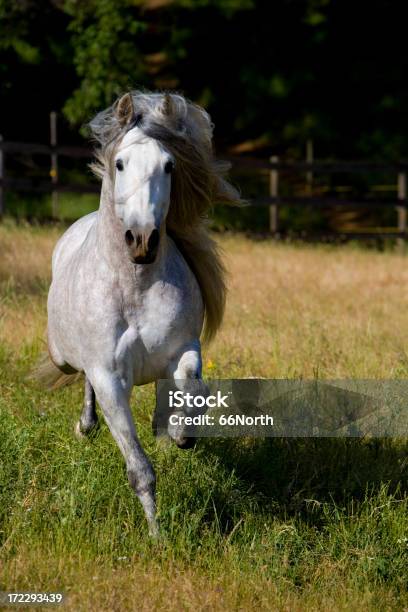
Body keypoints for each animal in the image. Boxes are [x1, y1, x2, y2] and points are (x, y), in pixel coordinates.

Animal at [37, 91, 241, 536]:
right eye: (119, 163)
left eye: (169, 165)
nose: (143, 240)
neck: (135, 286)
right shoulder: (110, 378)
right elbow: (139, 469)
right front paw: (157, 536)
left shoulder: (184, 350)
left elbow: (194, 388)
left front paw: (180, 432)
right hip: (63, 357)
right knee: (78, 377)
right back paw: (85, 427)